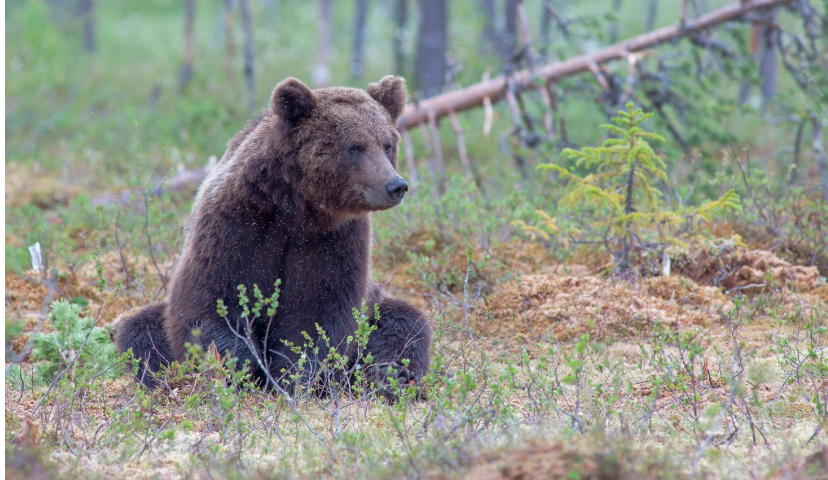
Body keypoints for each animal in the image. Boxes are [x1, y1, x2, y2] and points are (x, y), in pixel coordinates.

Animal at [116, 76, 432, 400]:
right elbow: (212, 299)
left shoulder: (334, 239)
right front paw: (238, 367)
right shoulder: (236, 223)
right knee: (141, 331)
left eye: (387, 144)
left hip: (377, 302)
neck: (296, 207)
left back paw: (390, 376)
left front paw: (294, 377)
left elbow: (321, 311)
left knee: (405, 324)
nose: (396, 185)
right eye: (355, 147)